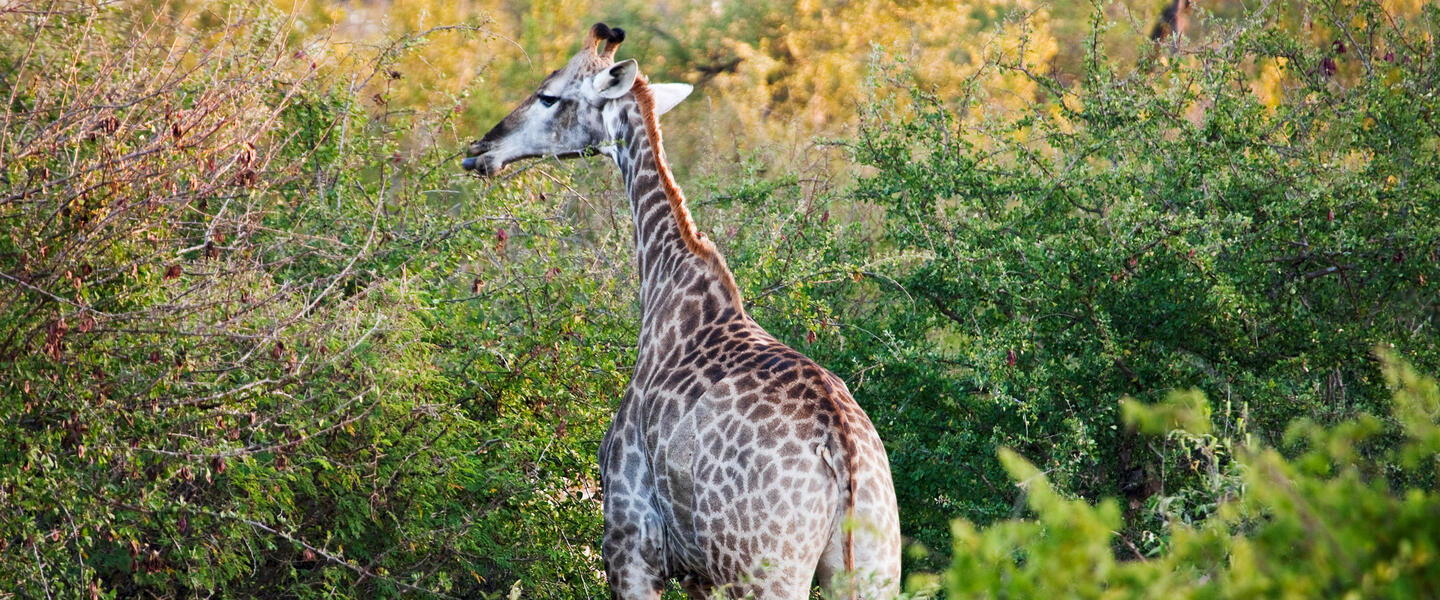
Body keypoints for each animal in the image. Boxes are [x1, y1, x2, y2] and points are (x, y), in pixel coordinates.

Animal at [466, 23, 898, 598]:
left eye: (548, 96)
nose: (480, 150)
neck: (665, 284)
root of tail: (843, 450)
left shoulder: (630, 543)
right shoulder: (699, 574)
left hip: (766, 571)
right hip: (875, 564)